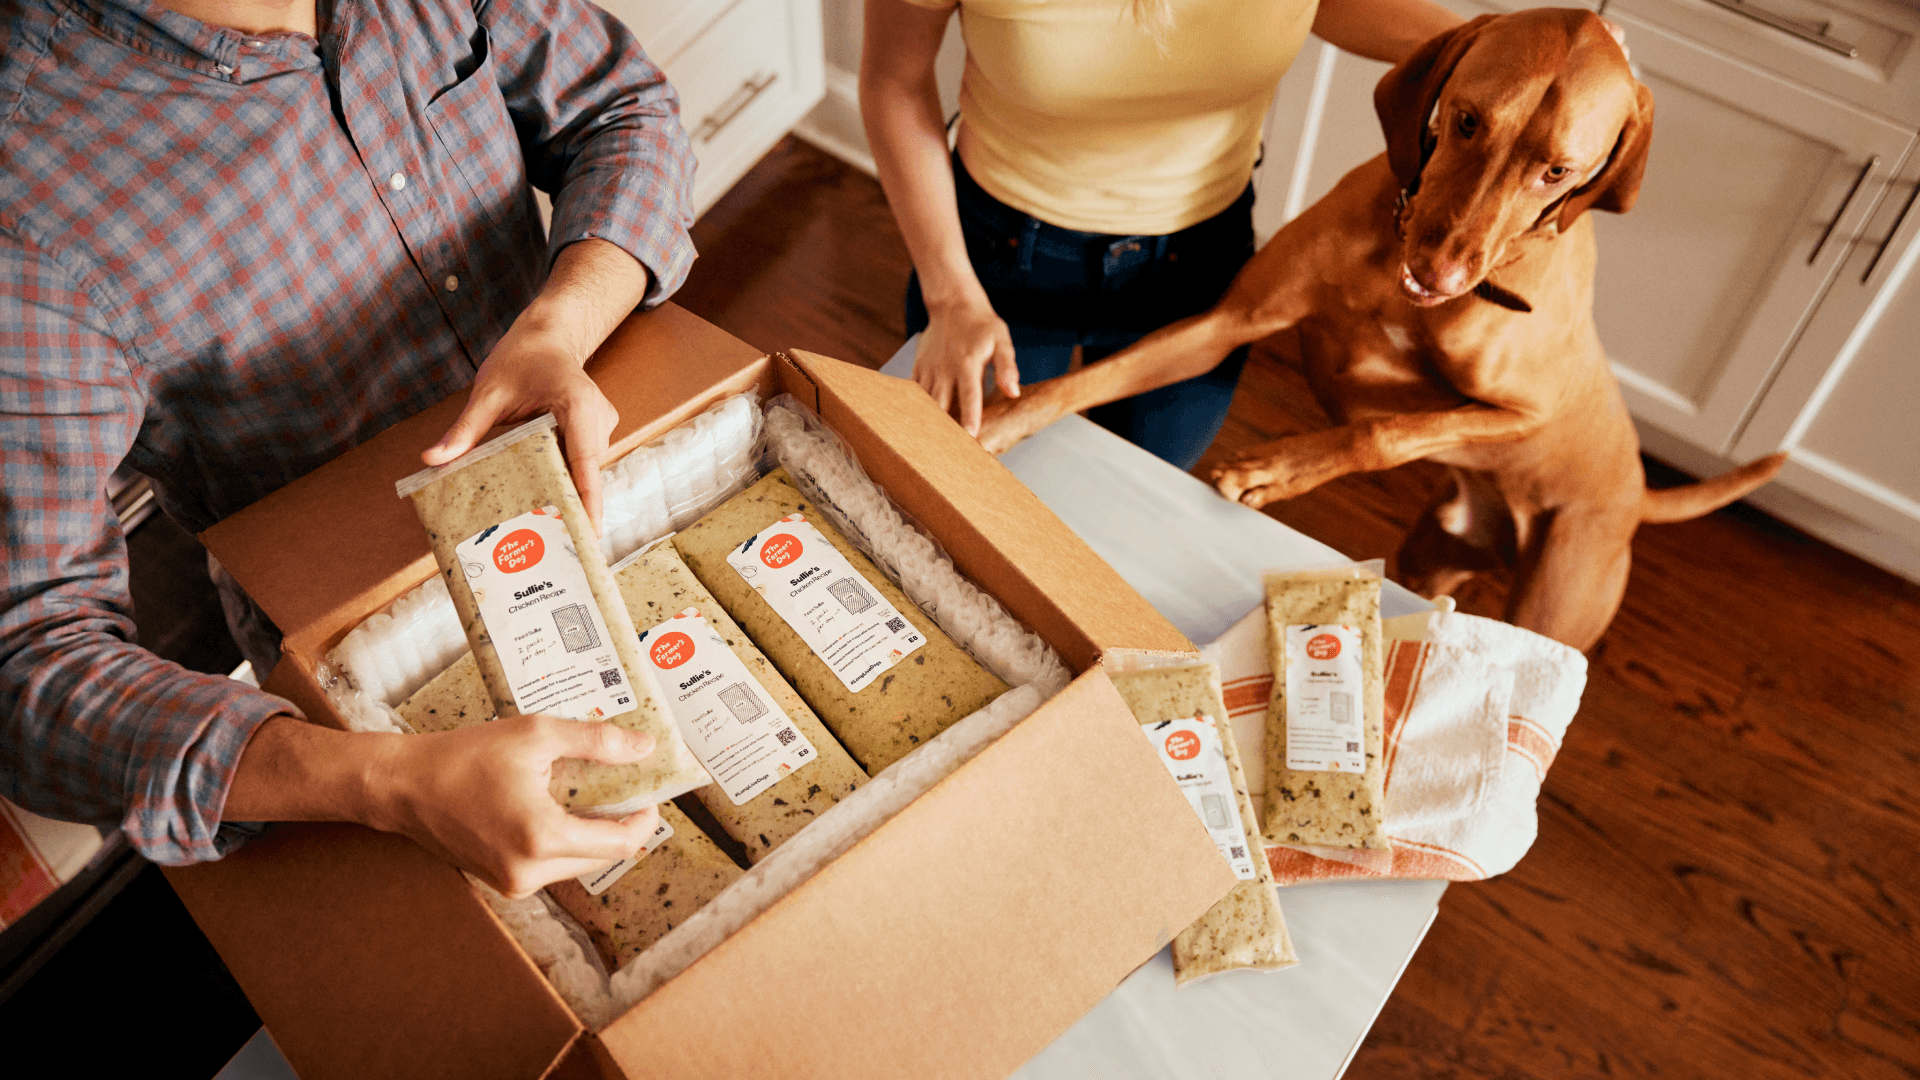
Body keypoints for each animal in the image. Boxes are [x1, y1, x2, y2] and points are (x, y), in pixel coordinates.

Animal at [983, 10, 1789, 645]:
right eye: (1468, 120)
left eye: (1558, 171)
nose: (1439, 271)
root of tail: (1636, 493)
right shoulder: (1226, 323)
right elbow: (1088, 379)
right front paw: (993, 420)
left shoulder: (1521, 413)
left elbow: (1382, 431)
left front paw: (1279, 468)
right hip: (1430, 555)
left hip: (1559, 595)